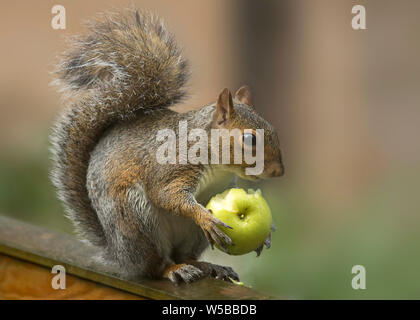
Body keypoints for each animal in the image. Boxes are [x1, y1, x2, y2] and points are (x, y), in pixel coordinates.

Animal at [50, 7, 284, 284]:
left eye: (274, 130)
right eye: (250, 140)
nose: (278, 171)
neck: (215, 161)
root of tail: (119, 255)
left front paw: (267, 233)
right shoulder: (172, 166)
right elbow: (167, 194)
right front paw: (204, 217)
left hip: (190, 236)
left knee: (185, 255)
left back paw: (209, 266)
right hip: (136, 220)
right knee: (155, 266)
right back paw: (173, 269)